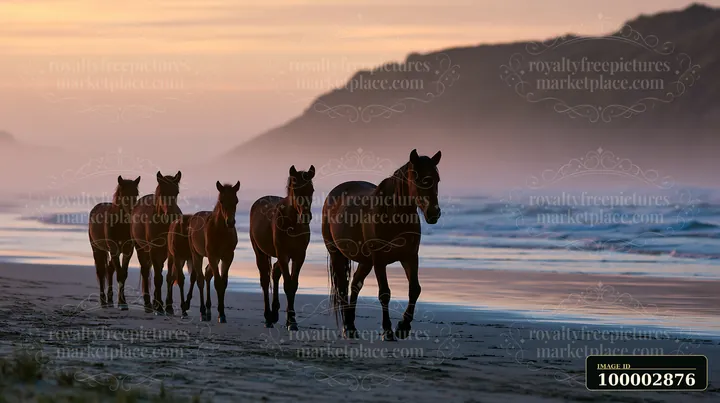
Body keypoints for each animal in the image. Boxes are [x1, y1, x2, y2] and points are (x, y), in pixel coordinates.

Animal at [88, 176, 140, 309]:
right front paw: (122, 302)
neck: (120, 225)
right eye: (123, 193)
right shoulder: (114, 249)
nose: (132, 212)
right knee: (101, 272)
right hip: (97, 249)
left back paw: (110, 300)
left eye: (136, 193)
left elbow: (123, 274)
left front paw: (122, 302)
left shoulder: (128, 251)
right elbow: (119, 273)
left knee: (110, 269)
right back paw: (103, 301)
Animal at [131, 171, 183, 314]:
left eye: (176, 192)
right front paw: (159, 307)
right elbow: (157, 278)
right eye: (162, 192)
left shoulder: (171, 252)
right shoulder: (153, 250)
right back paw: (149, 304)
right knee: (145, 272)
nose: (170, 214)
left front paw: (169, 306)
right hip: (141, 249)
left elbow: (169, 277)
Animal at [187, 181, 240, 322]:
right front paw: (221, 314)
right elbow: (217, 282)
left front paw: (222, 313)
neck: (221, 232)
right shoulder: (212, 255)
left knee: (207, 274)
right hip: (197, 255)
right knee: (200, 279)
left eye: (236, 201)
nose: (230, 222)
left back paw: (208, 310)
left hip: (214, 258)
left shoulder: (227, 256)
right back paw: (202, 311)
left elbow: (223, 282)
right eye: (221, 201)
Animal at [249, 165, 315, 330]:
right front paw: (291, 321)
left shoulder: (299, 256)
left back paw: (274, 314)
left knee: (274, 271)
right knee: (265, 280)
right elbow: (288, 285)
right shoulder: (284, 255)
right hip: (260, 252)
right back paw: (268, 317)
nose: (306, 216)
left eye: (311, 190)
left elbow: (294, 284)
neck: (293, 224)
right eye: (295, 190)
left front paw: (291, 320)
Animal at [322, 149, 442, 341]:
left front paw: (403, 327)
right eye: (419, 179)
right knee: (342, 288)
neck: (394, 215)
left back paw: (352, 327)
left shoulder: (410, 257)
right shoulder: (379, 260)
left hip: (365, 261)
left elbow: (415, 289)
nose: (434, 213)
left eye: (437, 179)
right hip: (337, 254)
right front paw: (388, 330)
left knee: (355, 285)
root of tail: (332, 196)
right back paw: (347, 327)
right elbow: (384, 293)